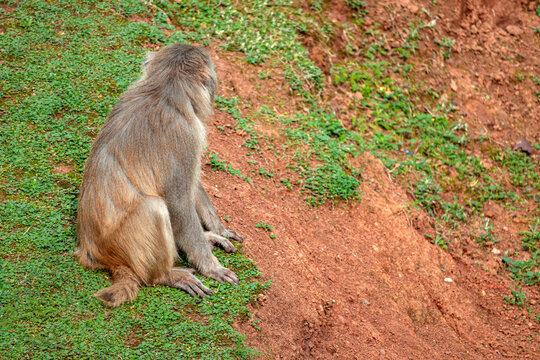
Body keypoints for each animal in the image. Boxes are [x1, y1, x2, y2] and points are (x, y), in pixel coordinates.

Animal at [75, 42, 244, 306]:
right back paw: (164, 275)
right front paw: (211, 267)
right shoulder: (186, 134)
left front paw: (217, 229)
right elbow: (178, 202)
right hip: (125, 244)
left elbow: (191, 185)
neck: (164, 91)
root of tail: (95, 254)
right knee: (153, 207)